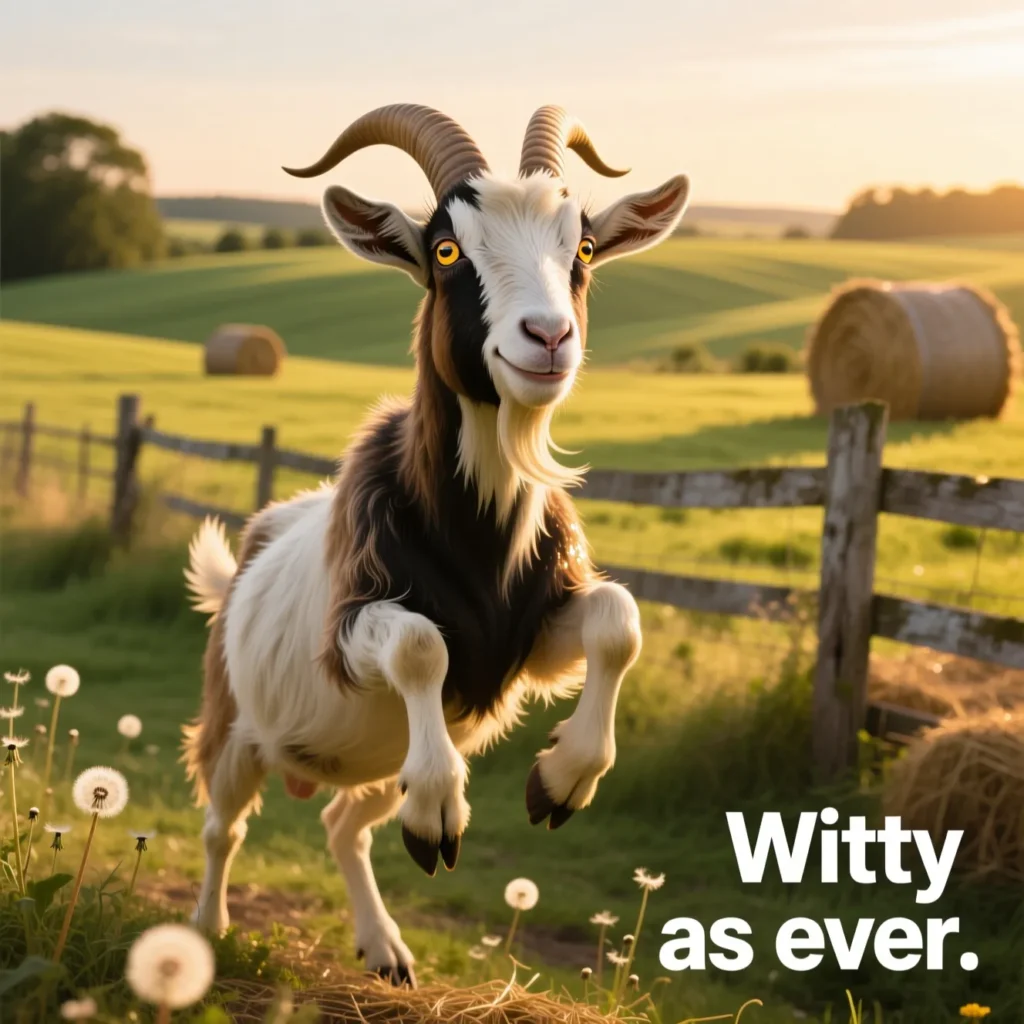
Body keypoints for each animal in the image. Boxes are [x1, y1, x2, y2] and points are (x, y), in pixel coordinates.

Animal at [183, 104, 690, 986]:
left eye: (584, 247)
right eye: (447, 250)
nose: (547, 337)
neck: (476, 549)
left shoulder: (518, 647)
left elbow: (616, 620)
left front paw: (560, 779)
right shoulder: (351, 631)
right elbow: (420, 643)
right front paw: (463, 804)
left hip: (378, 765)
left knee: (345, 825)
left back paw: (387, 941)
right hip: (237, 727)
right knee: (224, 826)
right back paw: (208, 930)